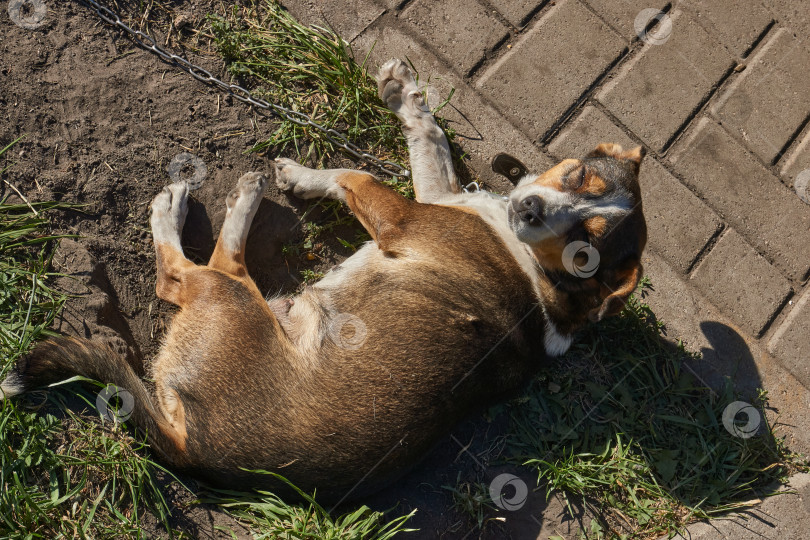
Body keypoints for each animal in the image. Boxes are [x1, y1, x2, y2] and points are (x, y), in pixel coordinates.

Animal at [0, 60, 644, 502]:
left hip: (232, 302)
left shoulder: (404, 218)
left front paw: (301, 176)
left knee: (194, 273)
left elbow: (352, 174)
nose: (529, 209)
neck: (541, 277)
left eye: (586, 252)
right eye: (579, 175)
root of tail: (191, 453)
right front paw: (406, 95)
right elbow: (429, 142)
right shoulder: (438, 196)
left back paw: (211, 200)